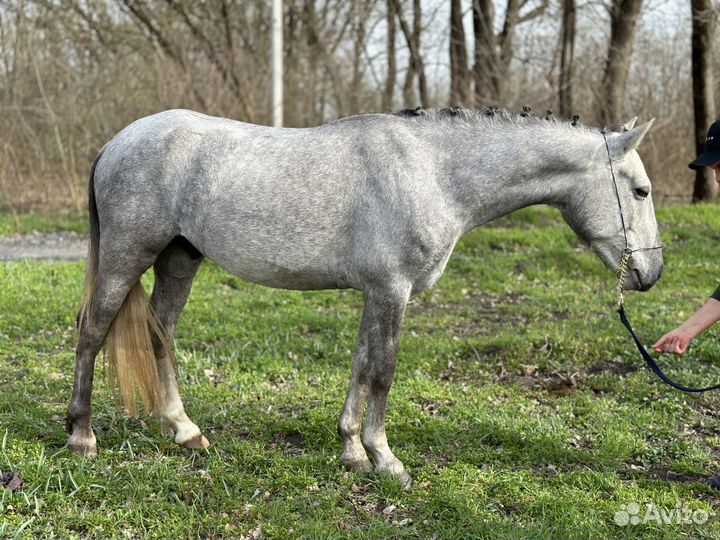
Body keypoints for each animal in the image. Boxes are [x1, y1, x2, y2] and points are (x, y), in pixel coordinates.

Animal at [66, 107, 663, 487]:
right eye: (641, 190)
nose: (652, 272)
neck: (434, 171)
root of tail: (116, 143)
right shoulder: (392, 291)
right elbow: (382, 372)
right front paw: (385, 459)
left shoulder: (376, 294)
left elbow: (359, 366)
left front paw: (352, 450)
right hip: (127, 254)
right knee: (92, 332)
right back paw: (82, 437)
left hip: (179, 259)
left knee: (160, 332)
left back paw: (184, 431)